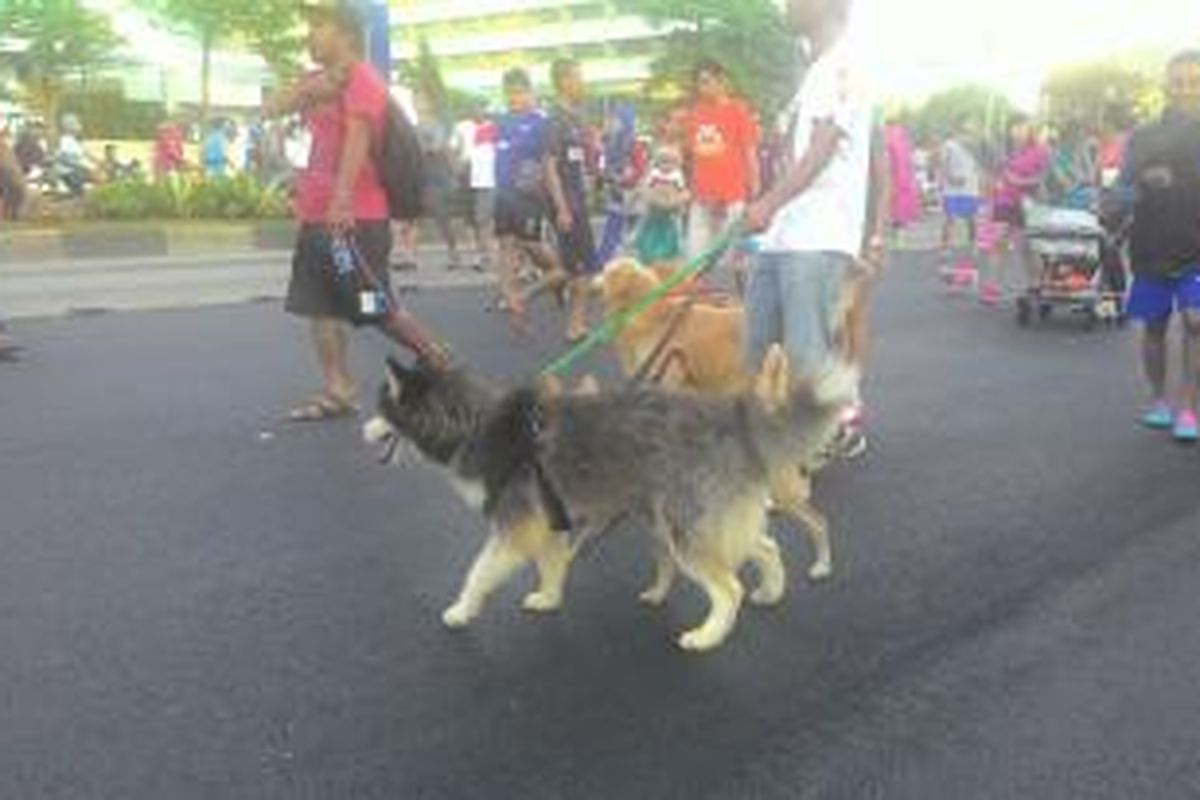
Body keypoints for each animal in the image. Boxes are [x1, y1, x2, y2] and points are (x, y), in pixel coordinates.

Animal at [364, 347, 854, 652]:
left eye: (381, 408)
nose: (361, 433)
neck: (476, 423)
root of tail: (734, 418)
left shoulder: (514, 529)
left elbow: (478, 573)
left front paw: (462, 610)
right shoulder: (550, 524)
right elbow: (552, 566)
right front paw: (549, 599)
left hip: (685, 530)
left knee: (728, 588)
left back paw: (708, 636)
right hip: (700, 521)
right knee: (767, 547)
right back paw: (771, 591)